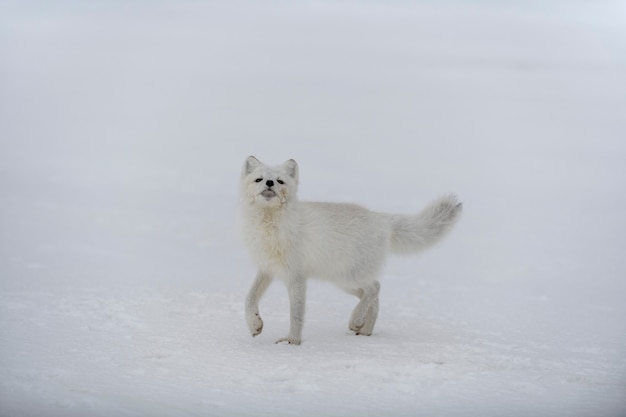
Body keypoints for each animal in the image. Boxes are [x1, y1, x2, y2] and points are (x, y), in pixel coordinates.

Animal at [239, 156, 458, 344]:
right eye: (259, 179)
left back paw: (356, 320)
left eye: (280, 181)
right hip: (344, 282)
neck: (271, 226)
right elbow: (249, 298)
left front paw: (292, 341)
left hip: (350, 276)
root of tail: (381, 219)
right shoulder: (267, 269)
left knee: (375, 287)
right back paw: (365, 329)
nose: (269, 183)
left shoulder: (297, 276)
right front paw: (254, 324)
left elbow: (296, 314)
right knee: (373, 297)